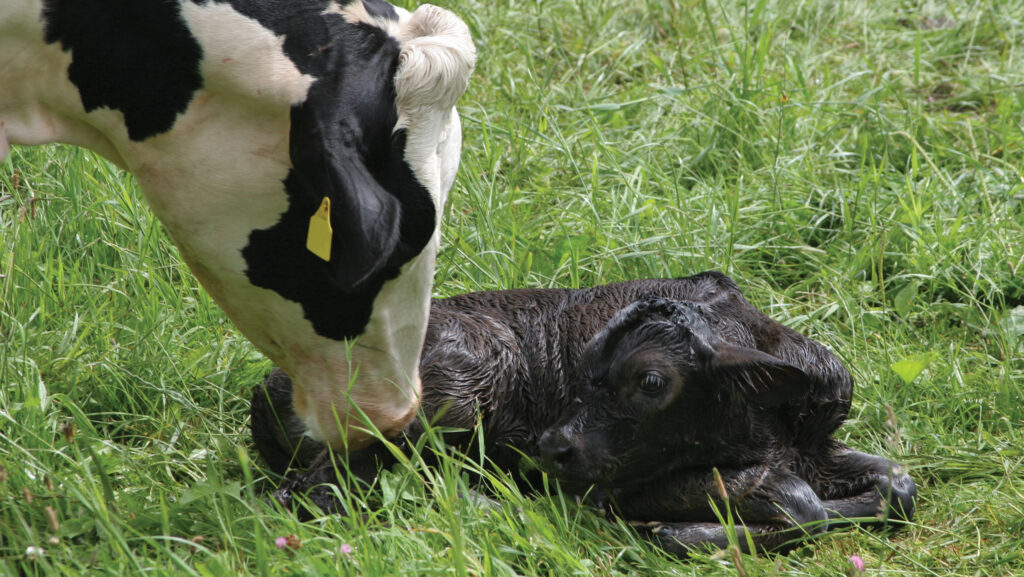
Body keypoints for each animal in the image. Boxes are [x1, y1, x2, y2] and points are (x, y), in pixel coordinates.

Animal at [249, 272, 921, 557]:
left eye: (650, 381)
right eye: (588, 364)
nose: (552, 447)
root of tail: (275, 380)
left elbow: (898, 484)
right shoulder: (619, 484)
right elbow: (798, 502)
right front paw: (681, 534)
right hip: (461, 380)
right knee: (318, 490)